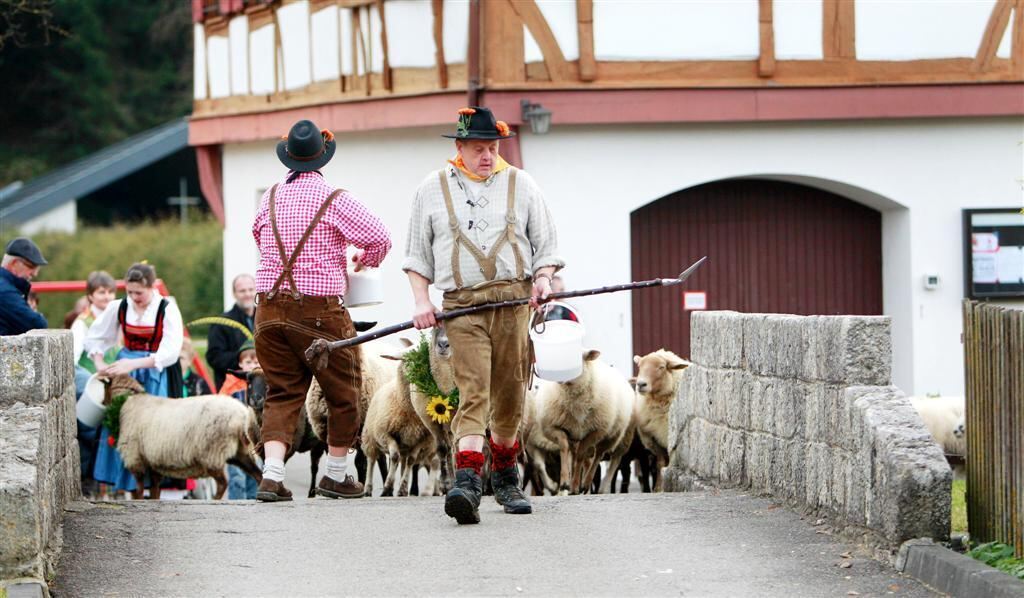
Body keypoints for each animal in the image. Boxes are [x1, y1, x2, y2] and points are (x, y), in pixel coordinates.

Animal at [101, 372, 262, 499]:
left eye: (104, 387)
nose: (102, 402)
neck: (127, 402)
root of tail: (241, 415)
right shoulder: (153, 461)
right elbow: (154, 488)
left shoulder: (135, 457)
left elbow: (139, 488)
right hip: (240, 452)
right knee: (258, 474)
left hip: (212, 452)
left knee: (223, 483)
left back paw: (215, 500)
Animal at [630, 350, 688, 491]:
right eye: (640, 366)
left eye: (661, 367)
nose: (640, 384)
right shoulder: (653, 438)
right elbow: (660, 463)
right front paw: (658, 487)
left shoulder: (670, 438)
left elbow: (670, 462)